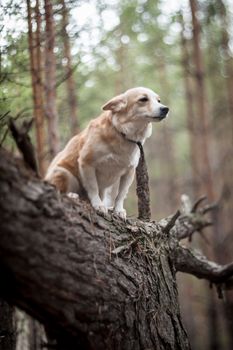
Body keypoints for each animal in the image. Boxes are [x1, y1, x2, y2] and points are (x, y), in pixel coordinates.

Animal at [44, 87, 168, 219]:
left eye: (159, 101)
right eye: (143, 99)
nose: (165, 109)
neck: (123, 133)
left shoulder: (129, 171)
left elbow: (121, 194)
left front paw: (118, 210)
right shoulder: (86, 163)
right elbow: (93, 188)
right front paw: (98, 205)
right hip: (63, 173)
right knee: (60, 189)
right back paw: (72, 195)